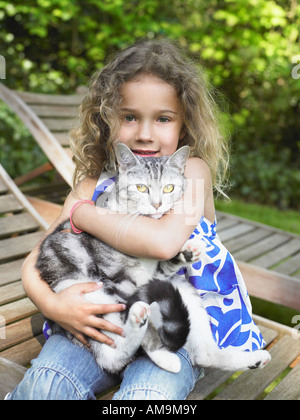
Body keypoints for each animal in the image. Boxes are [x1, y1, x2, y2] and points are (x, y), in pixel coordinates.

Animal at [35, 144, 272, 374]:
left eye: (169, 188)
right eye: (141, 188)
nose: (157, 204)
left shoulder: (155, 277)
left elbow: (165, 267)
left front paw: (186, 253)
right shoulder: (119, 282)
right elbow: (142, 329)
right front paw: (159, 351)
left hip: (184, 293)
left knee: (204, 355)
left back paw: (255, 358)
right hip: (85, 293)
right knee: (112, 355)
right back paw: (145, 330)